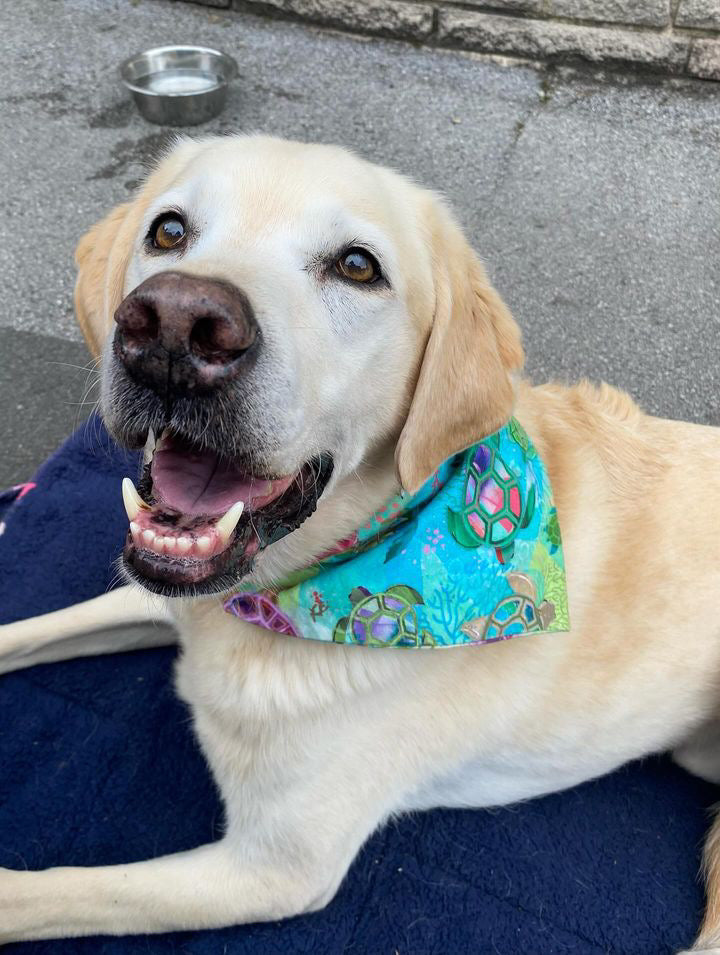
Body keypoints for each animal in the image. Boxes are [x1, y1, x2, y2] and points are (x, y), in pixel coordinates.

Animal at [1, 134, 720, 948]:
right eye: (169, 230)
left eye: (356, 266)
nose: (175, 326)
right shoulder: (167, 597)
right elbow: (34, 628)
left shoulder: (272, 866)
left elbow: (41, 893)